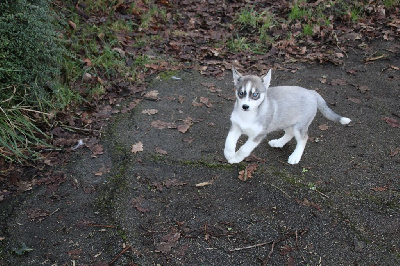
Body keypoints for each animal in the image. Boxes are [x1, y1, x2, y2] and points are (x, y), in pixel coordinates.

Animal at [223, 66, 352, 164]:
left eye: (255, 94)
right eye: (241, 93)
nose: (245, 106)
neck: (248, 115)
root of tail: (312, 92)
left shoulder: (258, 135)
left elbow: (244, 149)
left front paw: (236, 158)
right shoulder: (236, 126)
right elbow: (228, 142)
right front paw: (229, 155)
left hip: (300, 126)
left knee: (303, 138)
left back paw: (295, 156)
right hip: (286, 121)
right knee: (290, 133)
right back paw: (278, 143)